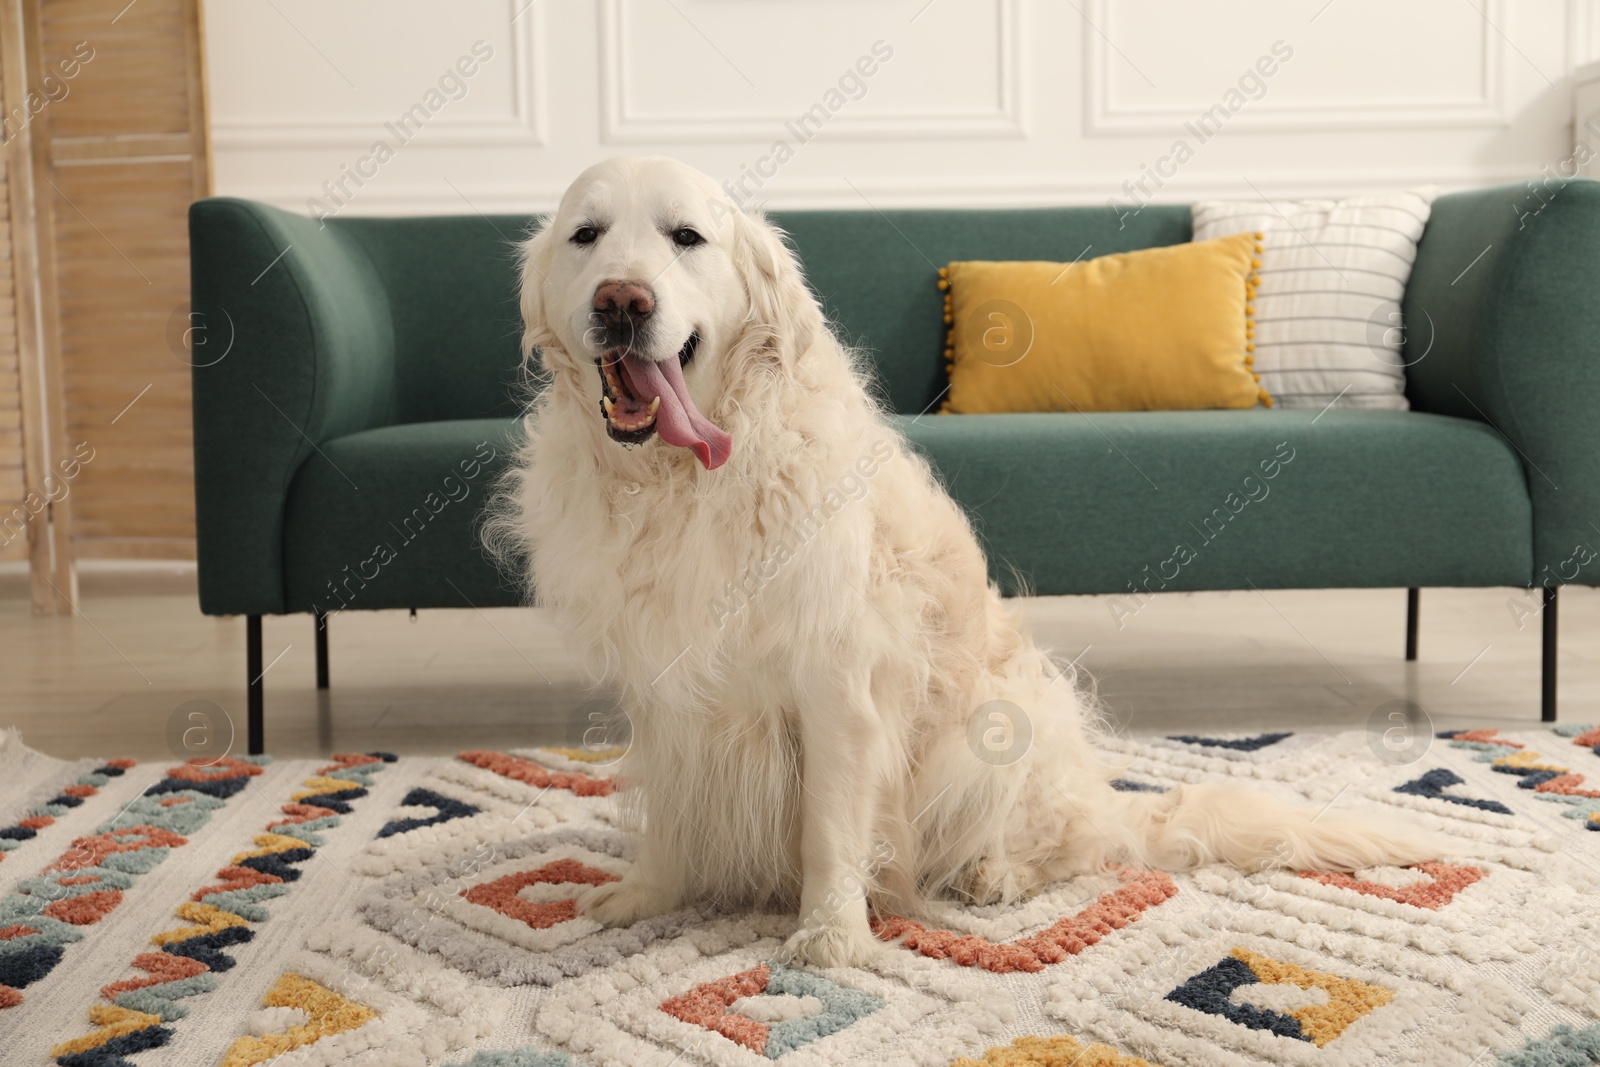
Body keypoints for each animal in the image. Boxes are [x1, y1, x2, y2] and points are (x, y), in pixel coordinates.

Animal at [489, 156, 1440, 966]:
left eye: (686, 237)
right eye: (586, 235)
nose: (622, 301)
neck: (680, 482)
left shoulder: (837, 682)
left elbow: (831, 828)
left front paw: (832, 935)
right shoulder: (664, 681)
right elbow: (670, 805)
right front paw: (647, 894)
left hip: (1001, 723)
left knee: (1079, 845)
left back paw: (999, 871)